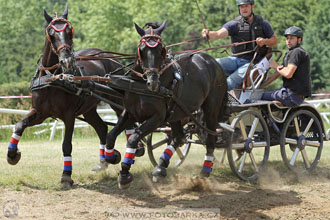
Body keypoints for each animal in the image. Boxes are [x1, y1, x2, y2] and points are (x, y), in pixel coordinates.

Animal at [6, 6, 140, 186]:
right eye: (51, 33)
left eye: (69, 32)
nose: (67, 61)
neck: (53, 78)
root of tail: (109, 58)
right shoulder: (40, 112)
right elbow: (20, 125)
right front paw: (12, 154)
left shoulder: (69, 115)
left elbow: (66, 145)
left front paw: (66, 175)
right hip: (89, 108)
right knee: (102, 127)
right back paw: (105, 159)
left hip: (115, 99)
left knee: (126, 121)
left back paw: (129, 151)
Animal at [105, 21, 227, 189]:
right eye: (142, 50)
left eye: (160, 50)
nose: (153, 83)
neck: (141, 86)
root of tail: (214, 62)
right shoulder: (130, 113)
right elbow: (111, 135)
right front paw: (111, 157)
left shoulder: (156, 118)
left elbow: (133, 139)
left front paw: (124, 174)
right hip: (177, 112)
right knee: (179, 136)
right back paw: (161, 167)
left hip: (211, 109)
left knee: (210, 138)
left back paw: (205, 171)